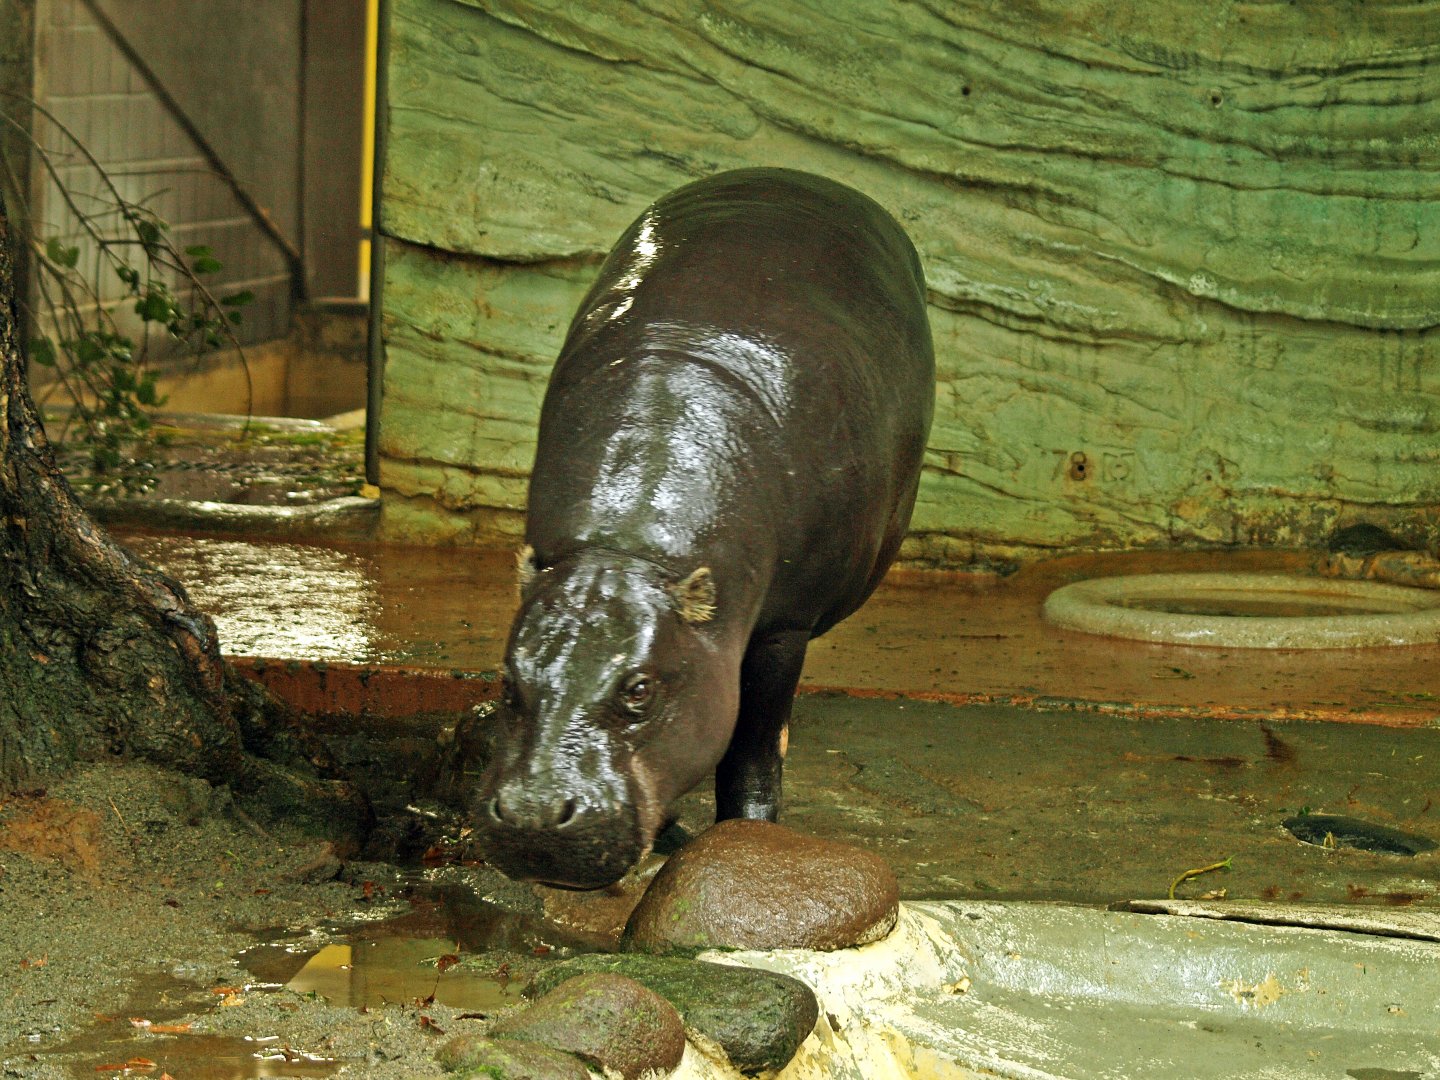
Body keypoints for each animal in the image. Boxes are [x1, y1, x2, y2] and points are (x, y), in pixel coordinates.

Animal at [472, 168, 934, 888]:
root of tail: (796, 173)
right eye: (506, 680)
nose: (534, 816)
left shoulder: (782, 628)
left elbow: (753, 744)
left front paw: (746, 836)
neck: (625, 550)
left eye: (639, 689)